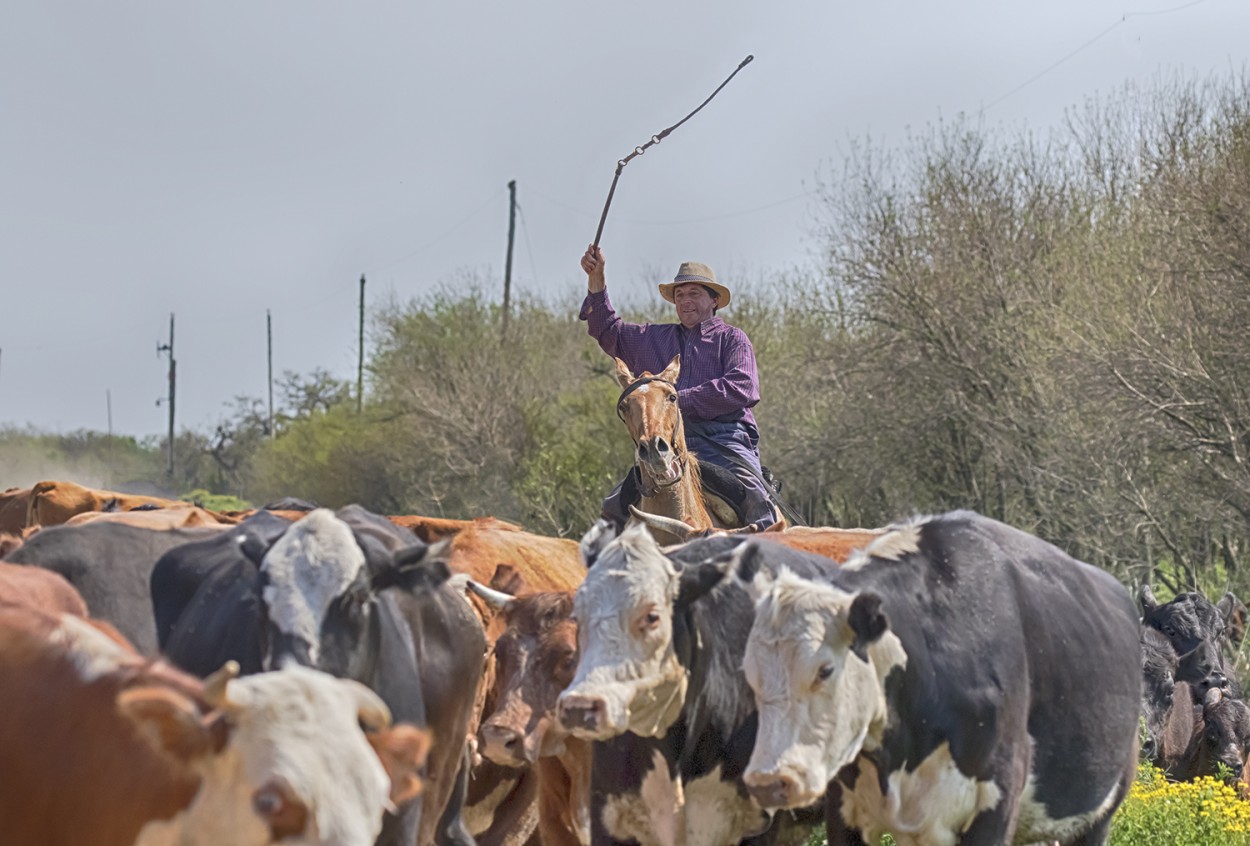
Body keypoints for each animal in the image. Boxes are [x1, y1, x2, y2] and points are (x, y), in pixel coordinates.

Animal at [730, 507, 1145, 844]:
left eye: (825, 669)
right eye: (750, 674)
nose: (769, 781)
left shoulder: (996, 802)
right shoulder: (845, 811)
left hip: (1099, 813)